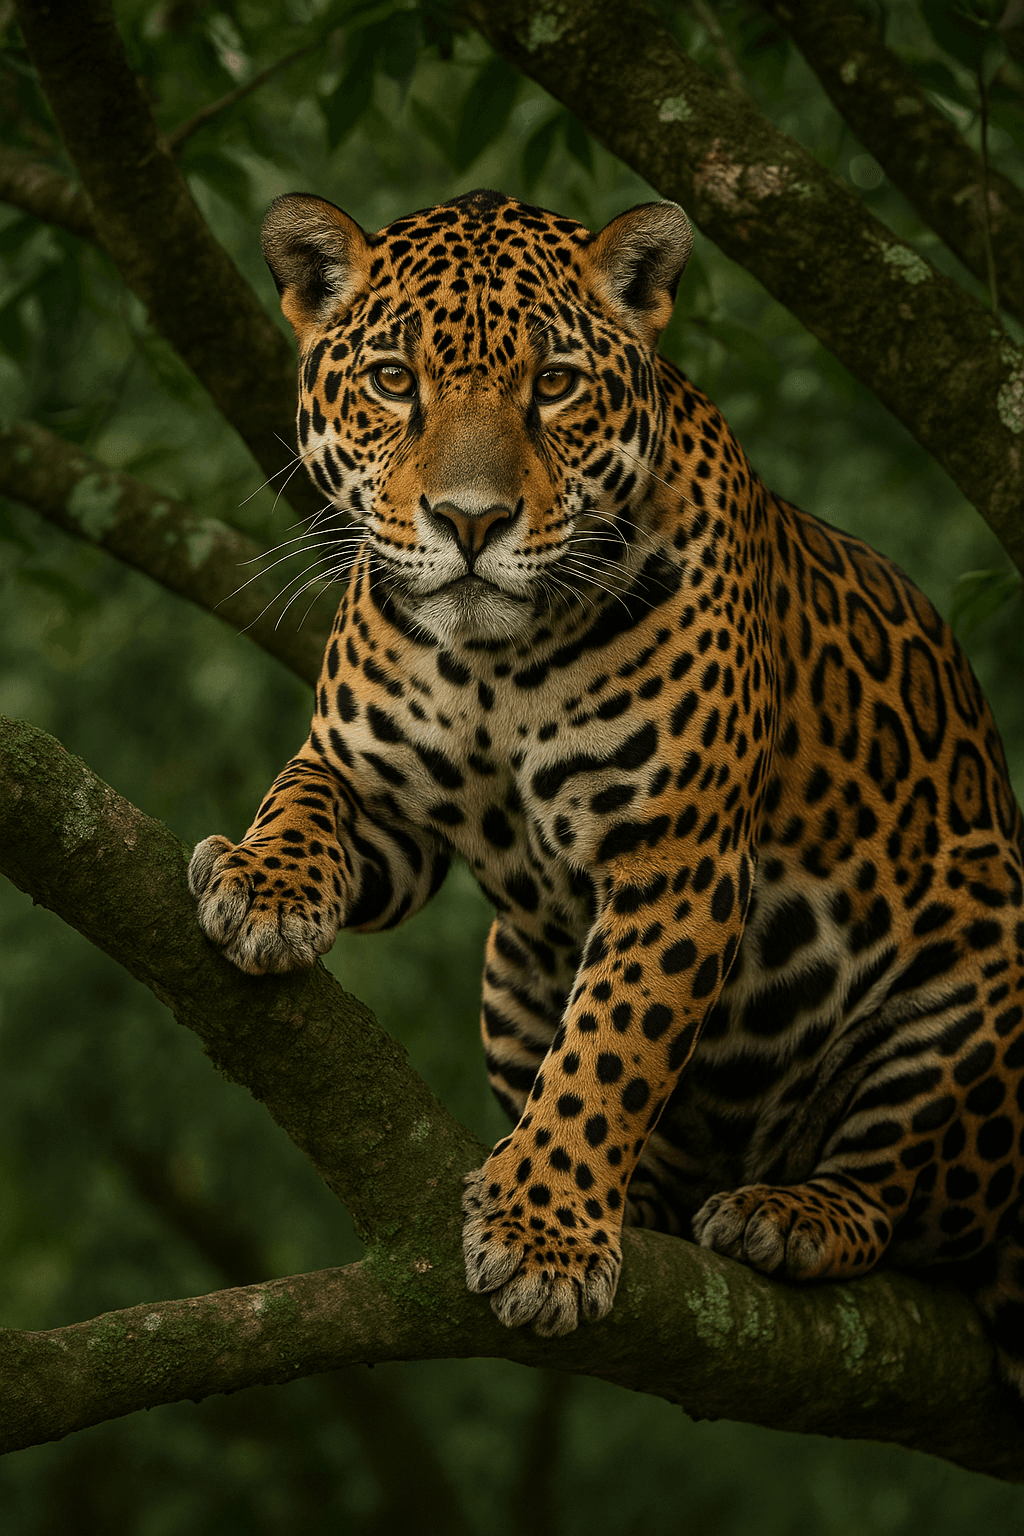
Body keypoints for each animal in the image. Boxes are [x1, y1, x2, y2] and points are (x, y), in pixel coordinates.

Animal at [189, 187, 1024, 1393]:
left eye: (554, 384)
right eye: (394, 379)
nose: (470, 522)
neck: (493, 661)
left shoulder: (677, 855)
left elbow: (610, 1049)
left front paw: (543, 1234)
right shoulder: (373, 785)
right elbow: (303, 799)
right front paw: (261, 884)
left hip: (980, 974)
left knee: (891, 1191)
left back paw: (788, 1214)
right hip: (504, 983)